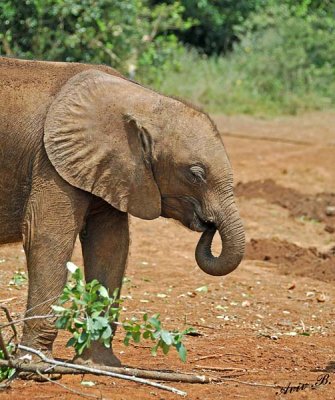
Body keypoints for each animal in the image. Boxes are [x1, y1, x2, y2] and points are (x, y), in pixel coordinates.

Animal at [0, 55, 247, 366]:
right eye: (195, 174)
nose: (209, 224)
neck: (142, 102)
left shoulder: (109, 168)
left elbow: (110, 245)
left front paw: (101, 365)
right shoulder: (50, 162)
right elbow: (47, 237)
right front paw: (34, 365)